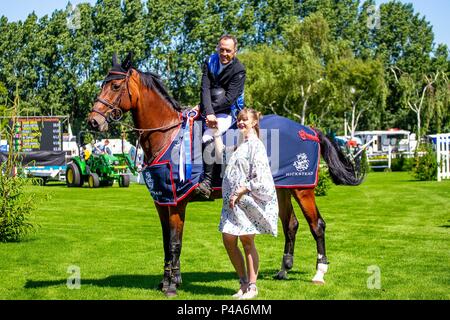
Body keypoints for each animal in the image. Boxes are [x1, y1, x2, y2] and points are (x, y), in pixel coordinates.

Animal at [86, 53, 364, 298]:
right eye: (103, 84)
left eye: (115, 85)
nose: (93, 122)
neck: (167, 135)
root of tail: (308, 129)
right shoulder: (162, 201)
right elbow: (167, 243)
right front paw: (165, 281)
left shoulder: (177, 203)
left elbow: (175, 243)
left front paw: (172, 286)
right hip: (281, 189)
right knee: (291, 224)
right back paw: (284, 270)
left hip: (303, 188)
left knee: (317, 225)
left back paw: (319, 272)